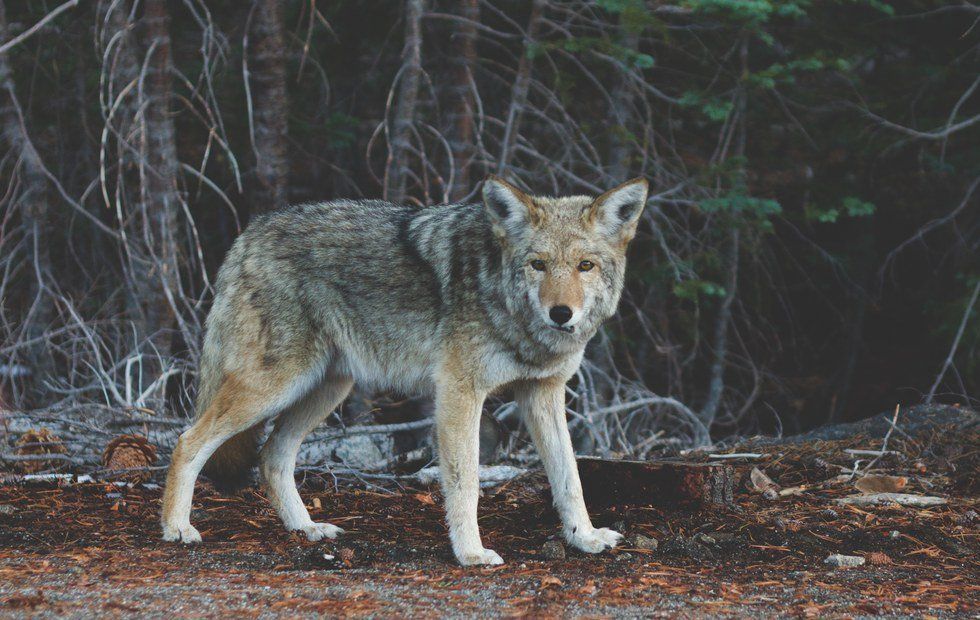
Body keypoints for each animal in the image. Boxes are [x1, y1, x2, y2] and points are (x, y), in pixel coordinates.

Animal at [161, 175, 649, 565]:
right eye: (538, 264)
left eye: (585, 266)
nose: (561, 313)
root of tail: (250, 232)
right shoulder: (459, 393)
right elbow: (466, 482)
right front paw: (471, 554)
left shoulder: (542, 394)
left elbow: (570, 478)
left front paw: (585, 538)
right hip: (275, 386)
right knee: (188, 441)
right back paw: (177, 528)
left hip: (326, 390)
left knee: (271, 457)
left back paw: (307, 529)